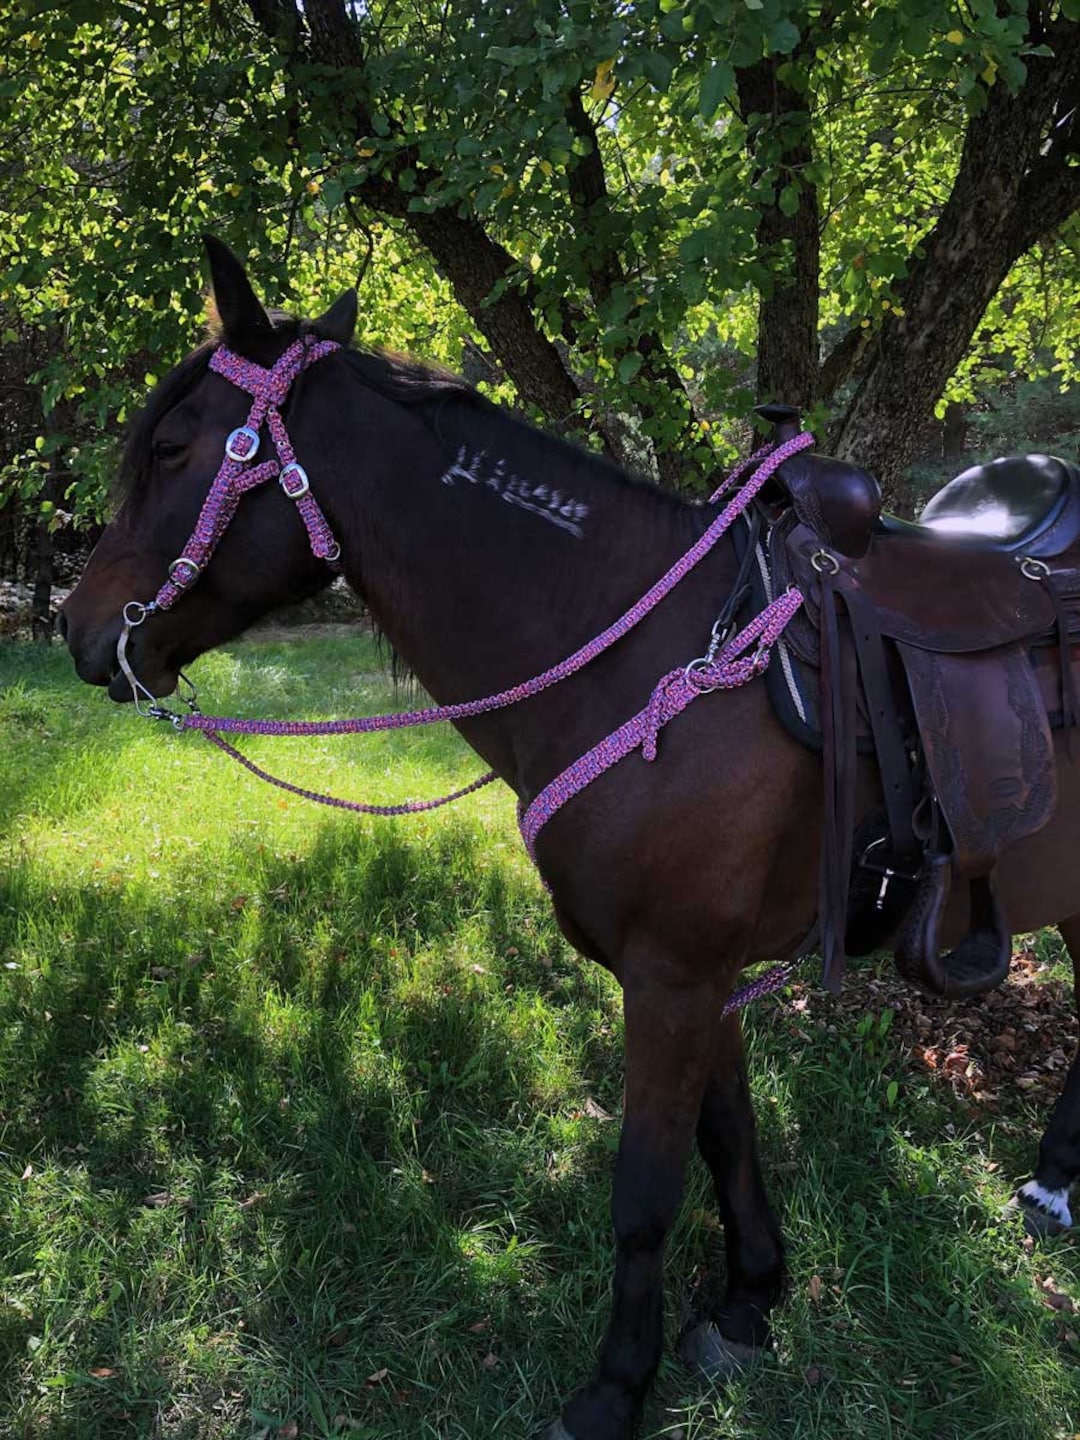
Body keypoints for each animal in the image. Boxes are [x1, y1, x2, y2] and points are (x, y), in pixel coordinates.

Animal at [59, 239, 1080, 1440]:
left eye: (172, 446)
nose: (79, 628)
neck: (646, 657)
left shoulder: (673, 976)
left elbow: (644, 1191)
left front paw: (614, 1388)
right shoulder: (697, 977)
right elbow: (727, 1133)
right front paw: (749, 1299)